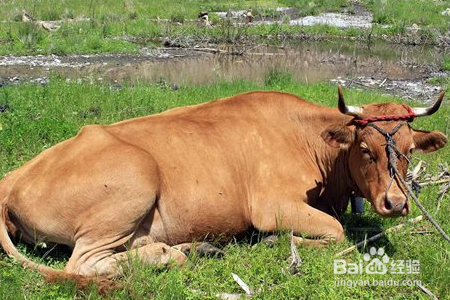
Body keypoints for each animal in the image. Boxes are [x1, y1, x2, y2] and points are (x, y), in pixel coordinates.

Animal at [0, 87, 446, 286]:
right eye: (366, 150)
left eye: (408, 150)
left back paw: (191, 248)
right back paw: (169, 255)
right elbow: (335, 231)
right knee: (83, 264)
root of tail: (12, 178)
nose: (395, 203)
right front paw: (276, 242)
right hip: (134, 179)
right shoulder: (271, 205)